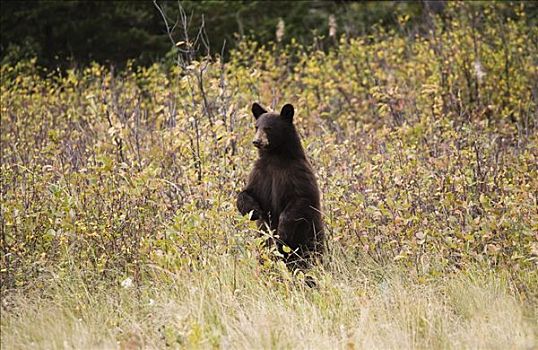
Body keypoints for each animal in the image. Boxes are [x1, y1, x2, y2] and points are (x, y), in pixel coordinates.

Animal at [236, 102, 322, 270]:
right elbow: (246, 192)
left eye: (269, 128)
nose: (256, 141)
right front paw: (254, 211)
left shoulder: (297, 173)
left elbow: (301, 198)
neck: (274, 158)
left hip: (310, 238)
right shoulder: (260, 174)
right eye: (256, 126)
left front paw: (282, 231)